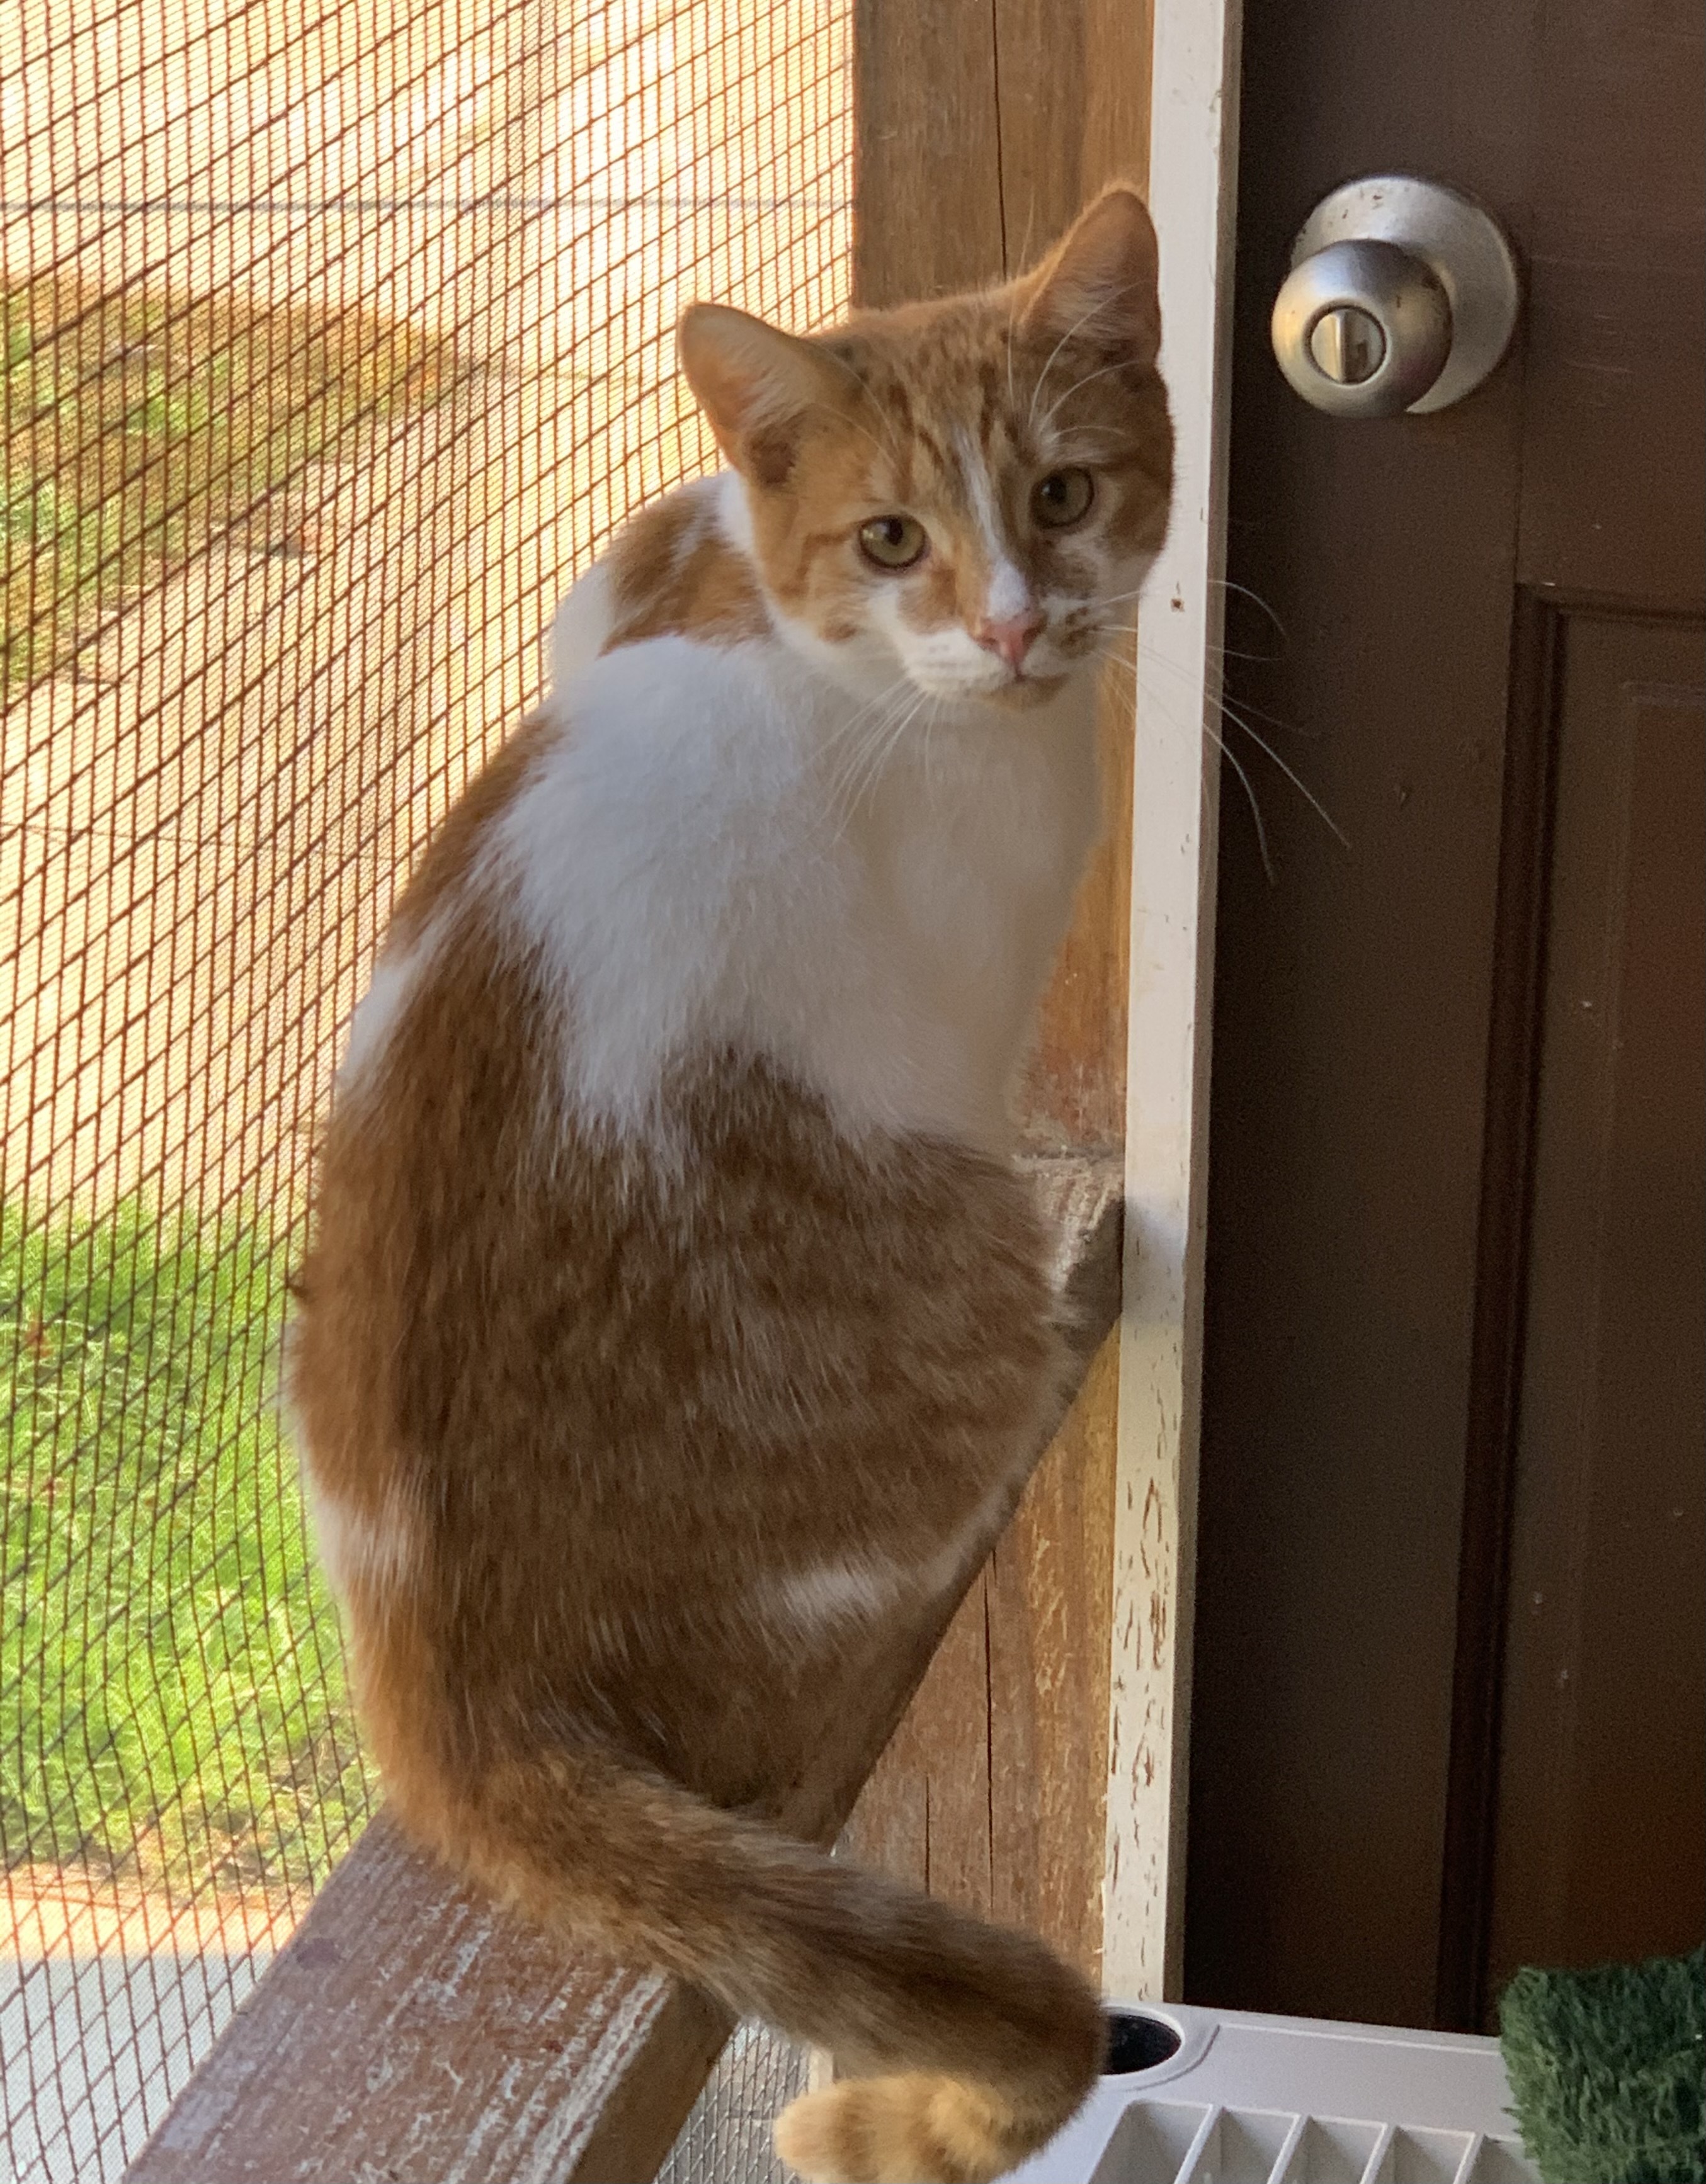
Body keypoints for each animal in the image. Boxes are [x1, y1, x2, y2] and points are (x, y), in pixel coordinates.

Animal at [292, 192, 1171, 2184]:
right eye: (895, 537)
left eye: (1067, 492)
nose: (1016, 624)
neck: (824, 650)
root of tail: (446, 1680)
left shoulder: (622, 576)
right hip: (955, 1256)